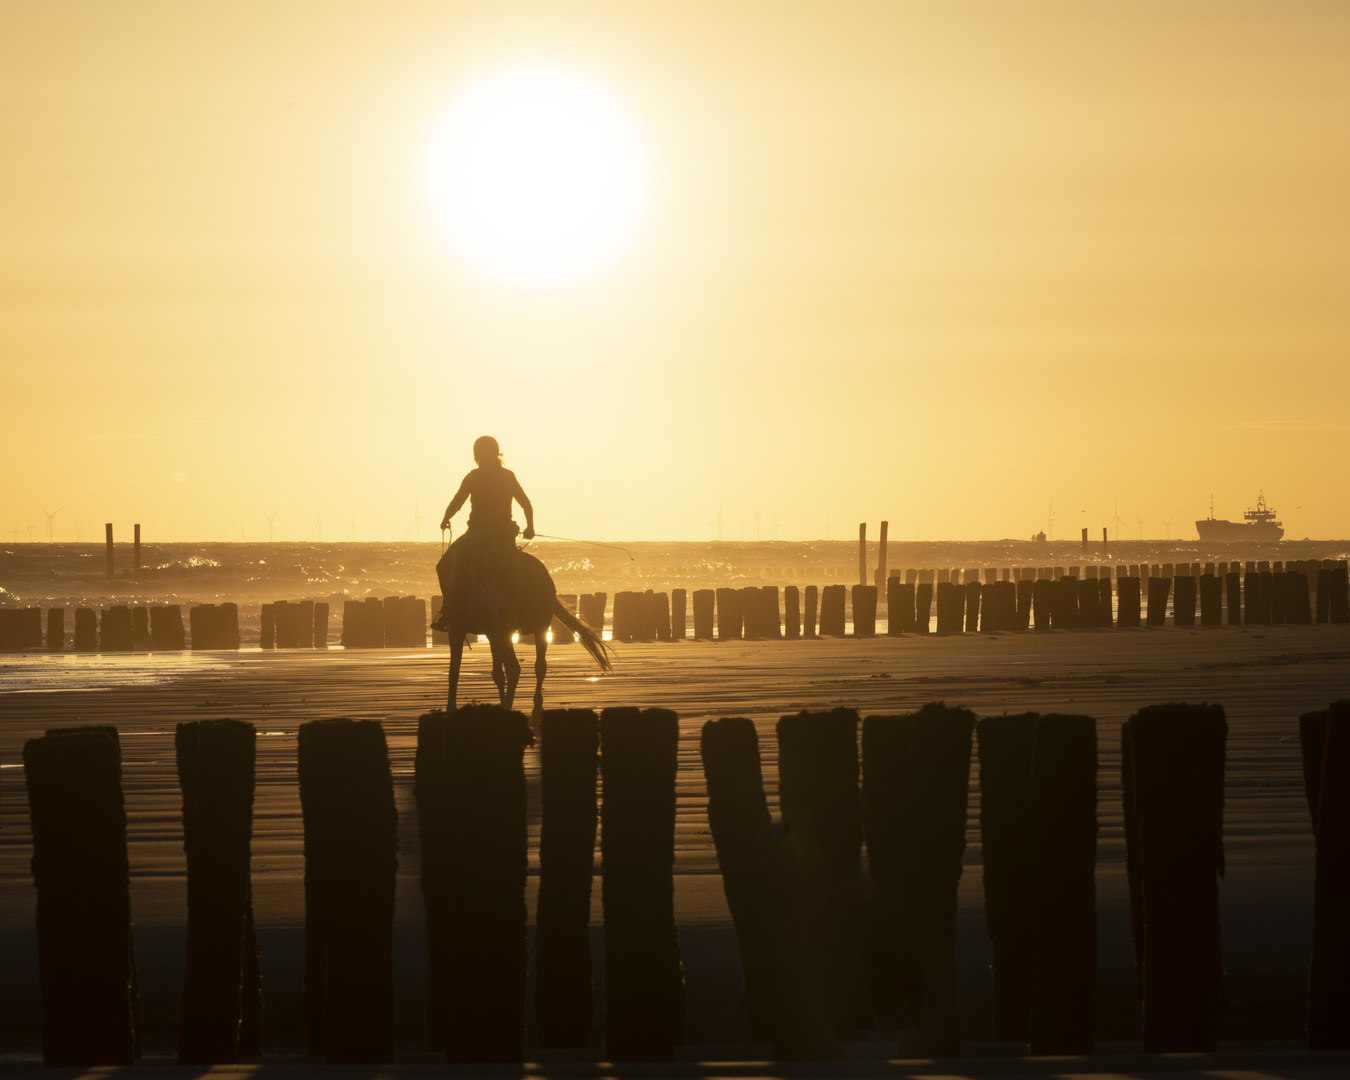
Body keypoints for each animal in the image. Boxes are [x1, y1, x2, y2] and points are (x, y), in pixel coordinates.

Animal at [442, 548, 612, 718]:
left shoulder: (496, 631)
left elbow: (498, 673)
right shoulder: (458, 630)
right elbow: (453, 671)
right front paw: (450, 707)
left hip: (539, 626)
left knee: (539, 666)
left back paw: (536, 702)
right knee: (514, 668)